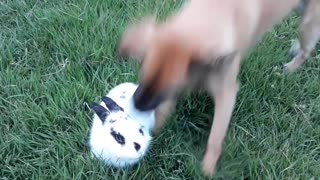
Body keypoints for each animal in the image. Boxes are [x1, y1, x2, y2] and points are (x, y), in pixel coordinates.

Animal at [118, 0, 320, 176]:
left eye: (171, 87)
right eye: (143, 73)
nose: (135, 106)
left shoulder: (226, 95)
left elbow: (215, 137)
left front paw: (207, 168)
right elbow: (162, 113)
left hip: (307, 24)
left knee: (307, 51)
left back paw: (289, 68)